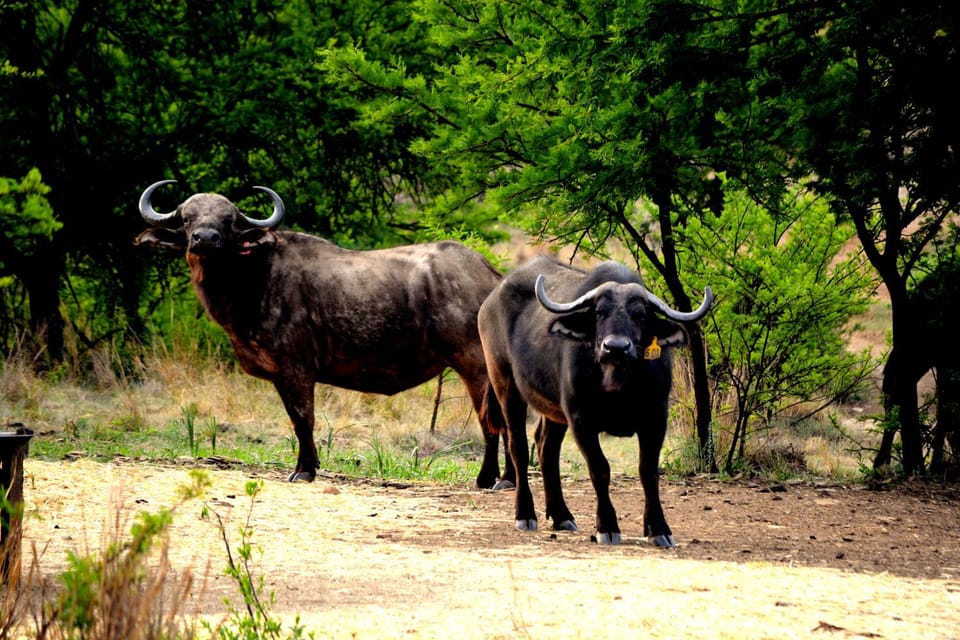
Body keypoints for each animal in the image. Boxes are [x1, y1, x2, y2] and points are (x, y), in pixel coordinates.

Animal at [136, 180, 511, 486]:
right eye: (188, 219)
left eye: (228, 221)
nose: (205, 239)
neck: (253, 277)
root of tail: (491, 275)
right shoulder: (281, 375)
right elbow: (296, 420)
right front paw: (309, 466)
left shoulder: (297, 368)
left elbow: (304, 419)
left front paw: (303, 471)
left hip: (476, 366)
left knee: (495, 420)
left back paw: (497, 479)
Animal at [477, 255, 712, 545]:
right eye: (600, 313)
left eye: (640, 315)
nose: (616, 347)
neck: (616, 383)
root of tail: (490, 300)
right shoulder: (581, 420)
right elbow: (600, 469)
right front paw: (607, 527)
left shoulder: (656, 419)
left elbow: (648, 471)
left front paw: (658, 529)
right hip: (505, 384)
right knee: (518, 446)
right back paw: (525, 514)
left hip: (553, 411)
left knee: (546, 448)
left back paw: (561, 516)